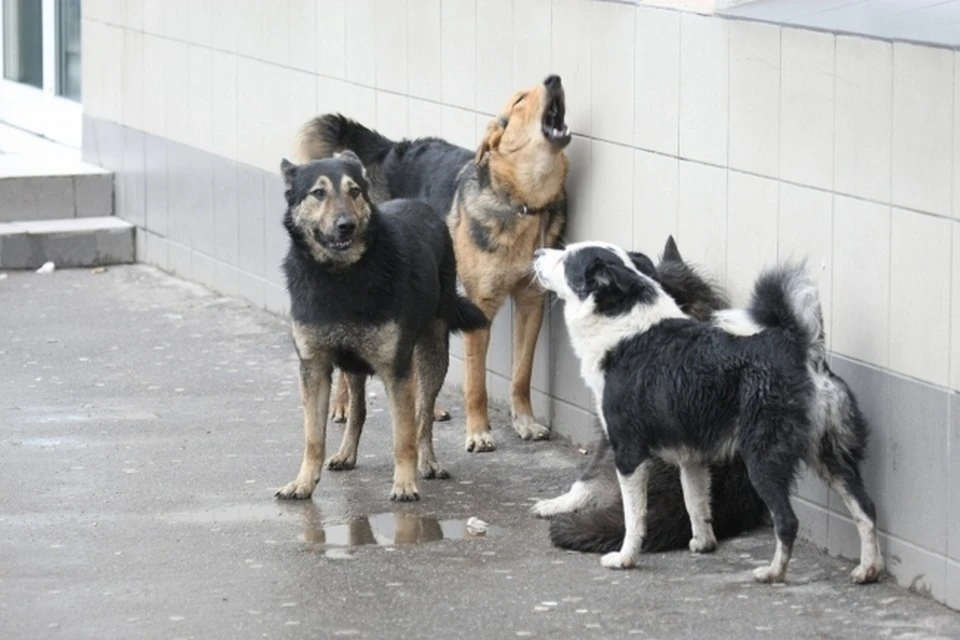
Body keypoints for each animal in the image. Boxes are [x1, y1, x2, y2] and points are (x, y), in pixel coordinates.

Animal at [276, 152, 488, 502]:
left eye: (354, 191)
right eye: (318, 193)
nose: (345, 225)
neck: (341, 276)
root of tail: (420, 204)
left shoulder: (396, 371)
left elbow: (403, 435)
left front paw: (404, 483)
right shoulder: (314, 368)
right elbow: (313, 437)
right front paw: (303, 482)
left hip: (432, 355)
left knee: (422, 415)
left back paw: (428, 462)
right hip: (353, 364)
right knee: (358, 409)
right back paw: (346, 453)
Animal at [292, 75, 568, 452]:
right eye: (520, 99)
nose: (554, 79)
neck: (521, 203)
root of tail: (389, 148)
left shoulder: (531, 302)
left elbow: (521, 374)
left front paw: (524, 421)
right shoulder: (480, 306)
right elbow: (476, 381)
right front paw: (479, 431)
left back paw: (427, 407)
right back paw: (342, 404)